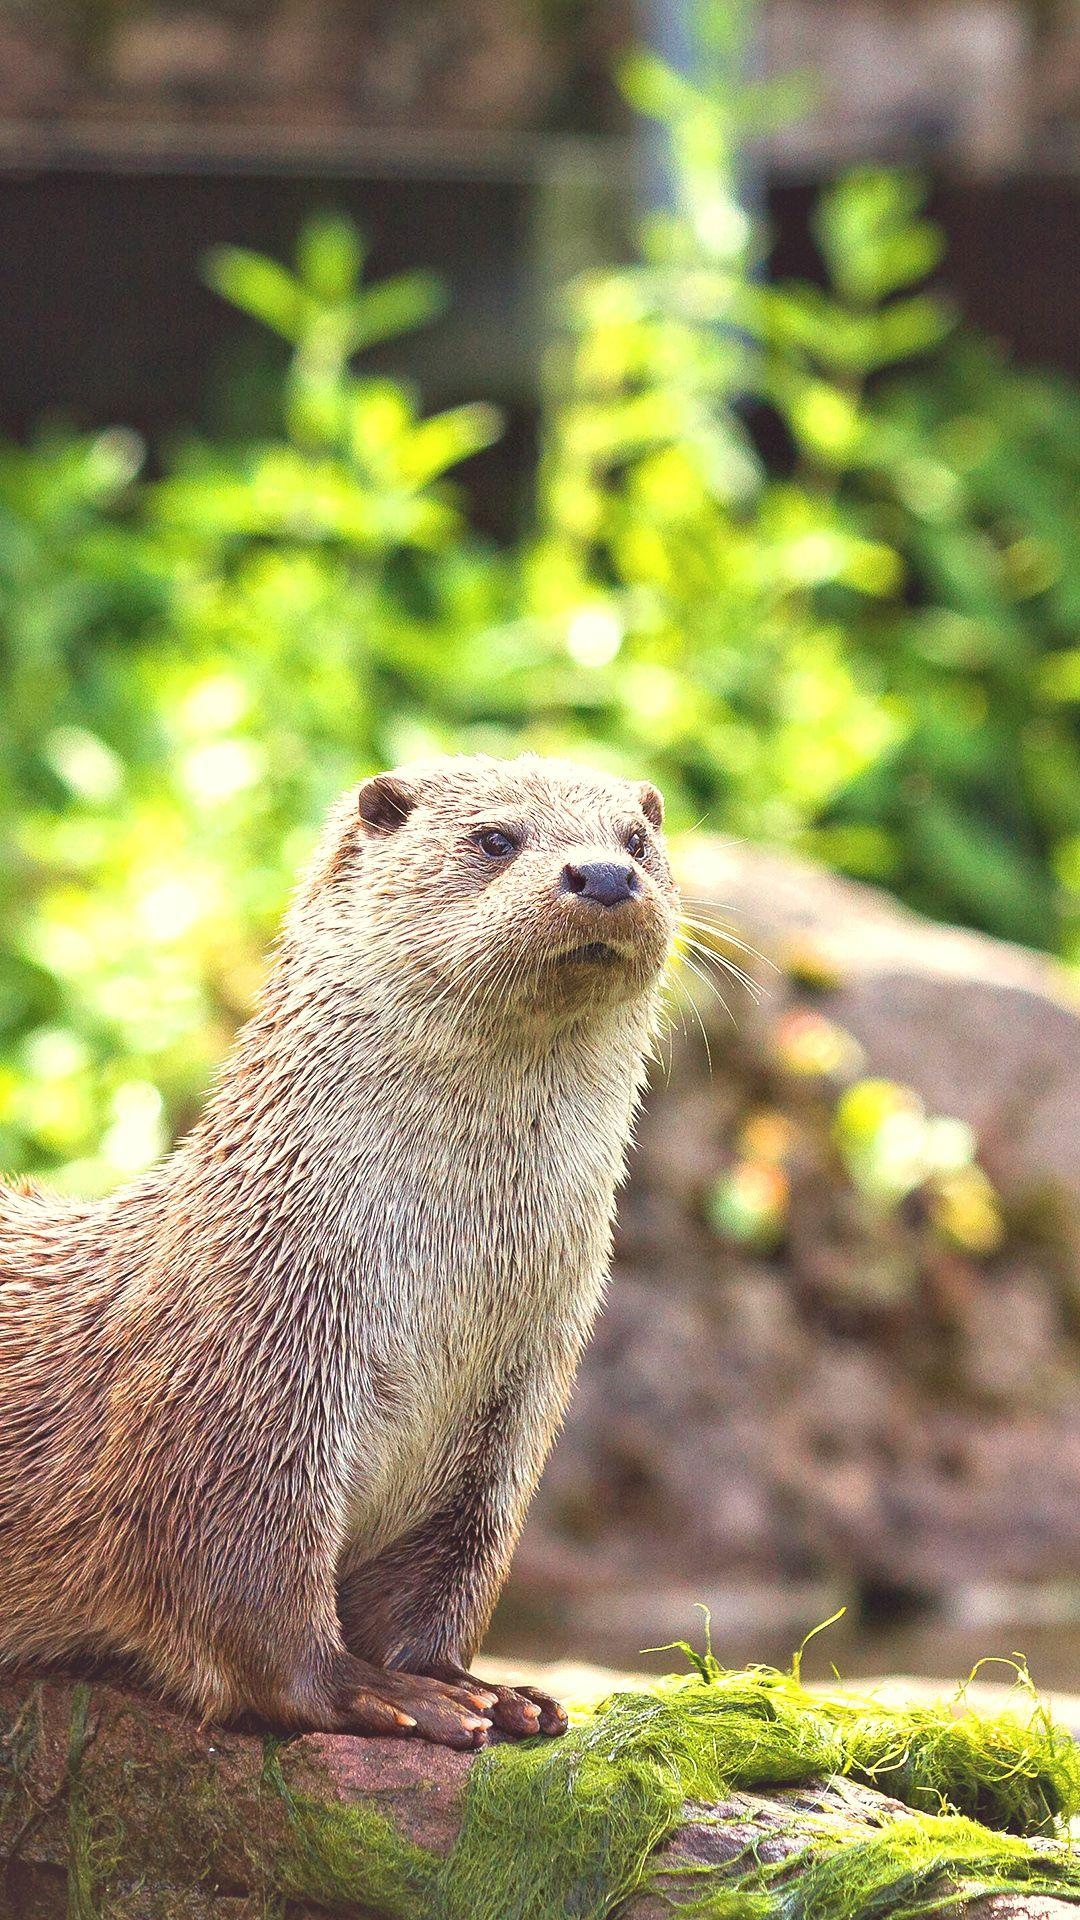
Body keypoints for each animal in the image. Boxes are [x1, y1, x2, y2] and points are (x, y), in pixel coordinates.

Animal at [0, 756, 672, 1751]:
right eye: (495, 837)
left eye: (637, 838)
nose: (604, 875)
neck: (444, 1293)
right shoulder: (246, 1384)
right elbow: (249, 1599)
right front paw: (383, 1694)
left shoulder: (516, 1410)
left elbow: (446, 1575)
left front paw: (482, 1687)